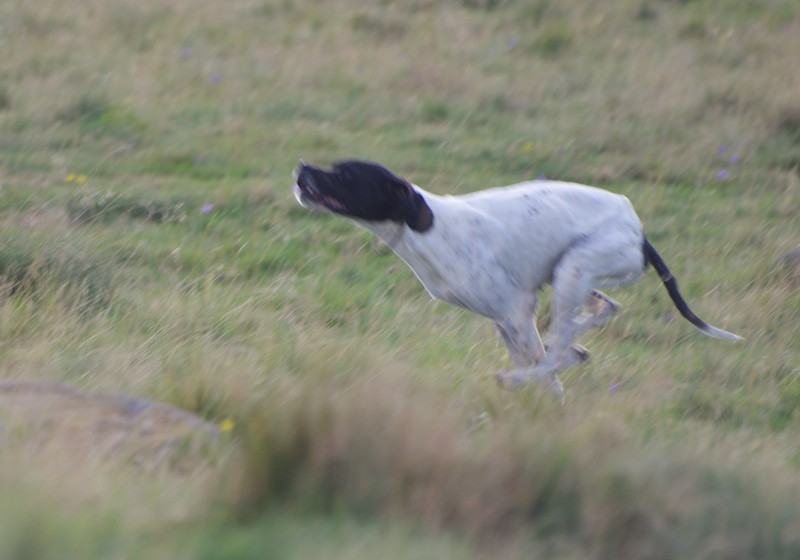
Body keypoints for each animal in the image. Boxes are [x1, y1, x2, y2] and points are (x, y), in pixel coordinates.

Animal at [294, 160, 744, 400]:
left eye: (346, 174)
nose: (301, 167)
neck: (427, 228)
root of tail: (638, 231)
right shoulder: (504, 321)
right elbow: (543, 364)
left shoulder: (515, 311)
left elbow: (546, 367)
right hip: (574, 277)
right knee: (600, 312)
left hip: (573, 268)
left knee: (564, 346)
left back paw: (541, 363)